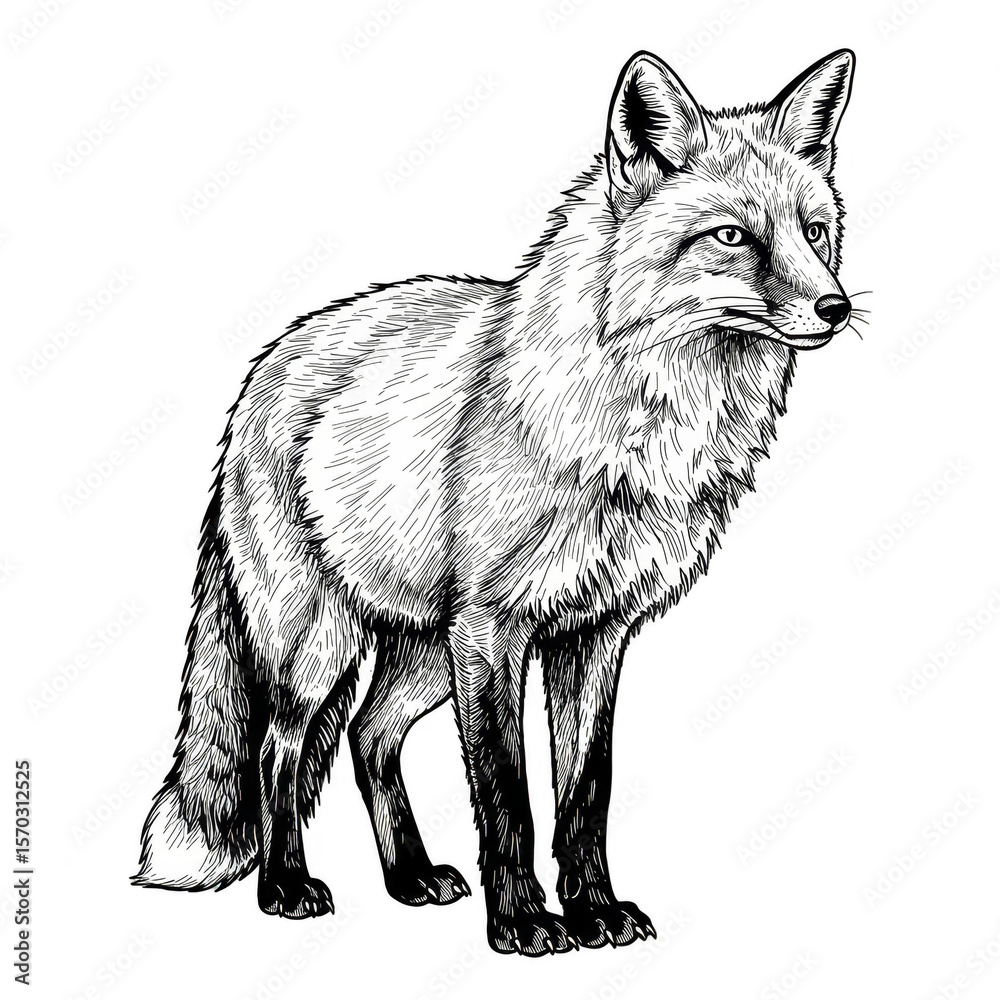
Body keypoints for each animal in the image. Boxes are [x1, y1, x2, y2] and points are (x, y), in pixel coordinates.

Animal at [134, 47, 858, 956]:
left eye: (815, 231)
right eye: (732, 237)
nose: (837, 306)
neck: (631, 432)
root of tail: (273, 360)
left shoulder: (594, 634)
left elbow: (585, 794)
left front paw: (594, 910)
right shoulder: (491, 629)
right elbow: (507, 795)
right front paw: (521, 921)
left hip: (420, 653)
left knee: (368, 736)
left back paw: (409, 876)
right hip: (323, 645)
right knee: (280, 748)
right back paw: (285, 885)